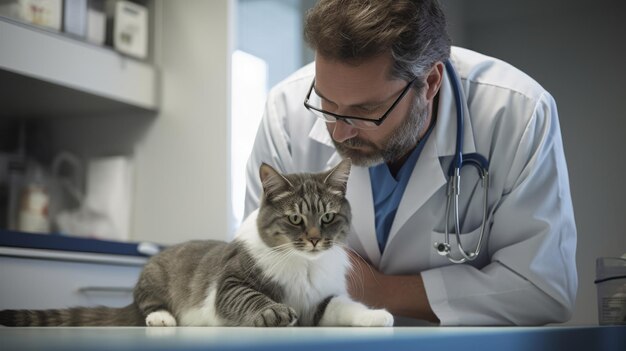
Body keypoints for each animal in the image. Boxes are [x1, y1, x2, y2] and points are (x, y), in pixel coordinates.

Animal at [0, 161, 392, 328]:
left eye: (327, 217)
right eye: (295, 219)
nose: (313, 239)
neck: (304, 264)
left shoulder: (323, 298)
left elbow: (343, 307)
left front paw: (377, 316)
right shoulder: (231, 282)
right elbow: (249, 297)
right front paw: (273, 312)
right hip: (153, 273)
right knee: (146, 307)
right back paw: (162, 318)